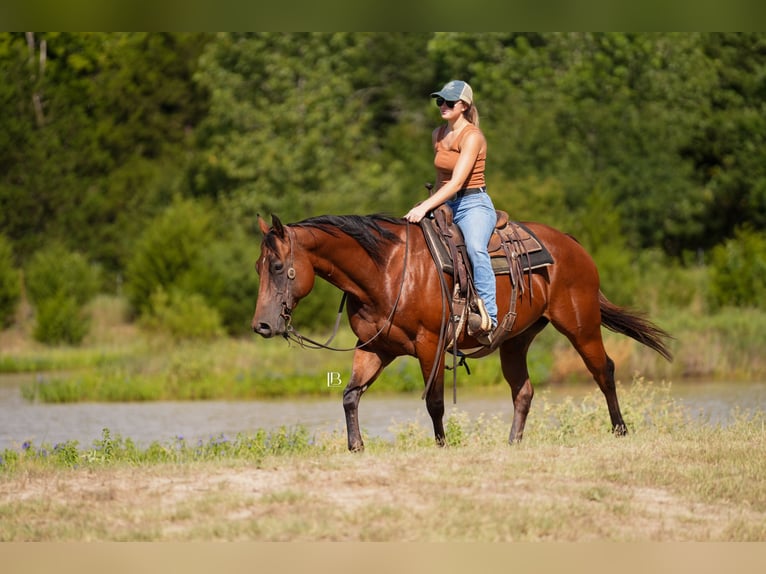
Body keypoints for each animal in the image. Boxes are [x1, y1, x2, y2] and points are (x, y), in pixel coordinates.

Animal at [252, 213, 673, 452]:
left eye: (278, 266)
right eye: (259, 265)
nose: (262, 325)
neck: (387, 270)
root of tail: (573, 245)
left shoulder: (429, 344)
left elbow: (434, 401)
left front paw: (442, 447)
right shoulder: (374, 348)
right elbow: (350, 395)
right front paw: (357, 447)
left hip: (580, 325)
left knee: (604, 371)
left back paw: (620, 431)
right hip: (516, 339)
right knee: (523, 390)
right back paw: (513, 443)